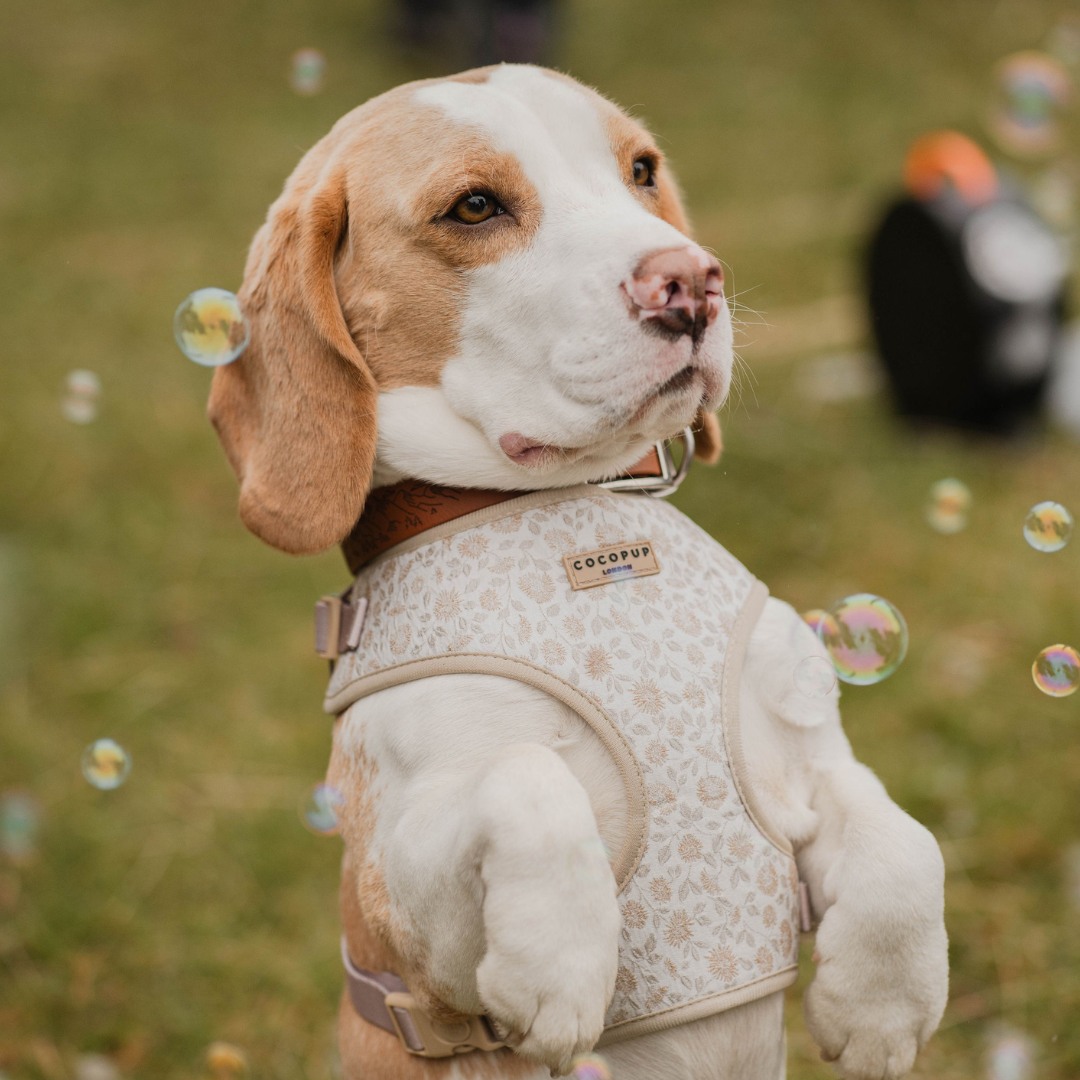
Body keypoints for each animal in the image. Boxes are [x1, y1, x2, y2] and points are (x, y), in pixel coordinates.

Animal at [206, 63, 950, 1075]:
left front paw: (882, 1006)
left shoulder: (805, 758)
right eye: (475, 206)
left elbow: (904, 836)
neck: (566, 517)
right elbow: (528, 777)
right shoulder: (405, 906)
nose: (691, 280)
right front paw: (559, 967)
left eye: (640, 169)